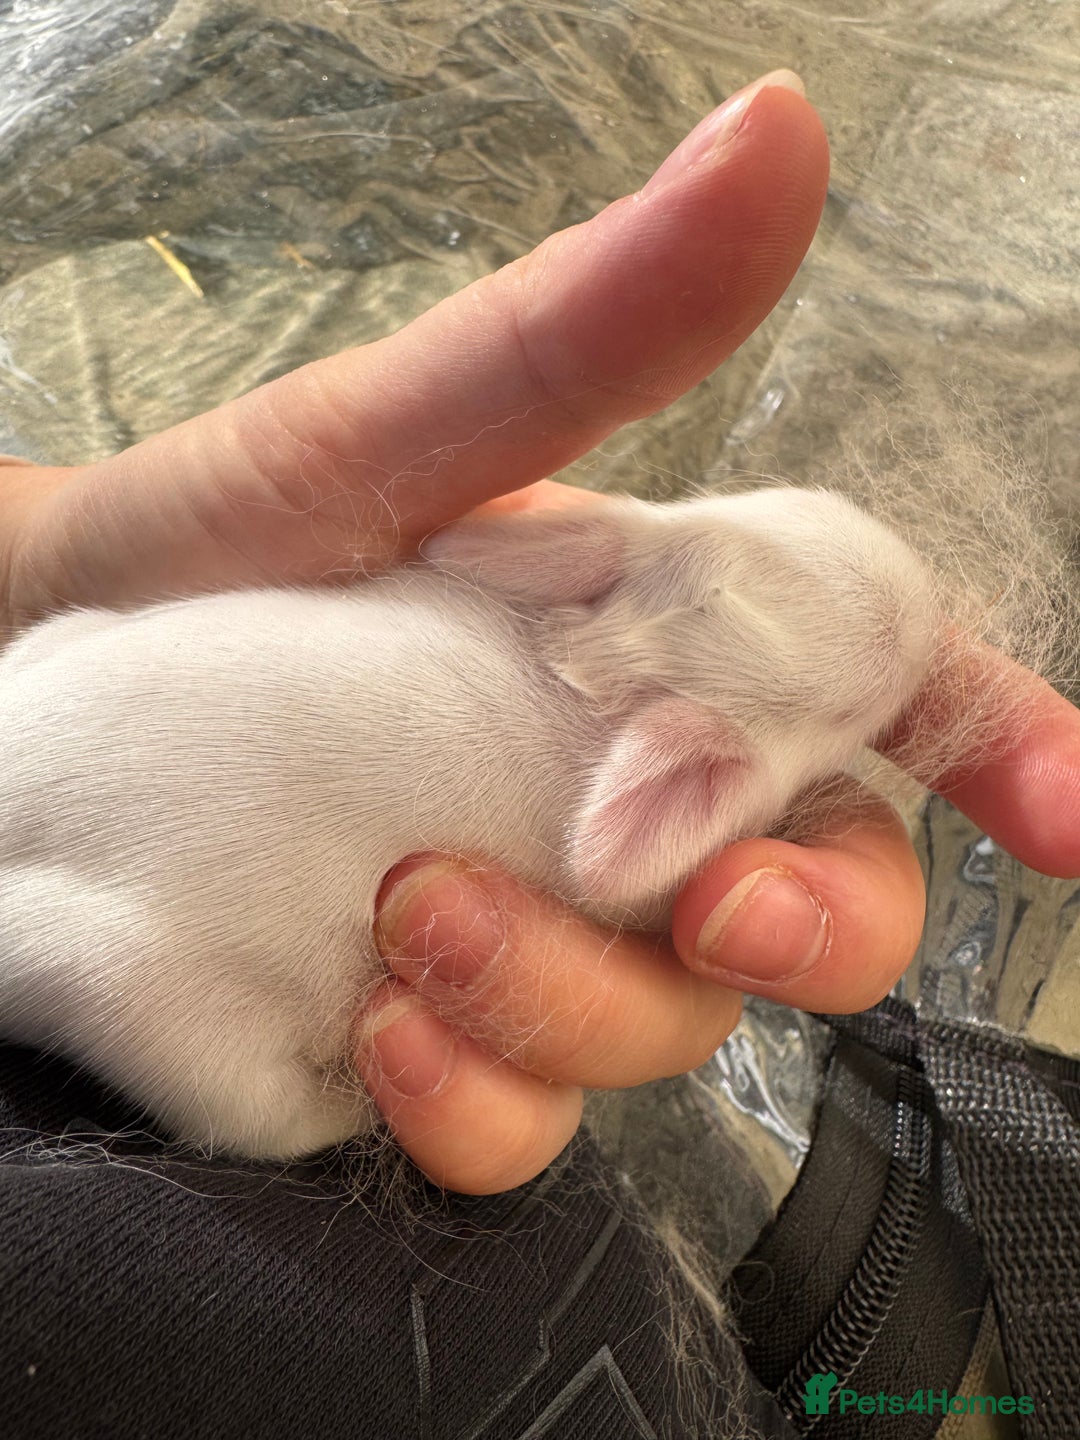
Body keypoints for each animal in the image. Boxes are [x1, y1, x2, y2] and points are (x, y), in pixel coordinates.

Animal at [0, 486, 937, 1161]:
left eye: (783, 502)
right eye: (852, 707)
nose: (928, 597)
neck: (593, 675)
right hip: (153, 1012)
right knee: (255, 1123)